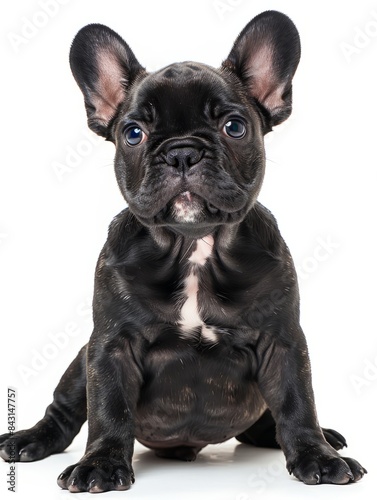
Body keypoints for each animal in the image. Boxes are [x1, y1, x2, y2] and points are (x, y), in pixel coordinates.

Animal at [0, 10, 364, 492]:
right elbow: (108, 409)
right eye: (133, 133)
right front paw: (101, 463)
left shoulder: (283, 342)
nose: (182, 152)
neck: (193, 244)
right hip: (79, 363)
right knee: (64, 412)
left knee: (268, 421)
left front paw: (315, 454)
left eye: (234, 127)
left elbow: (297, 402)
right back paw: (28, 439)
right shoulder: (109, 347)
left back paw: (322, 435)